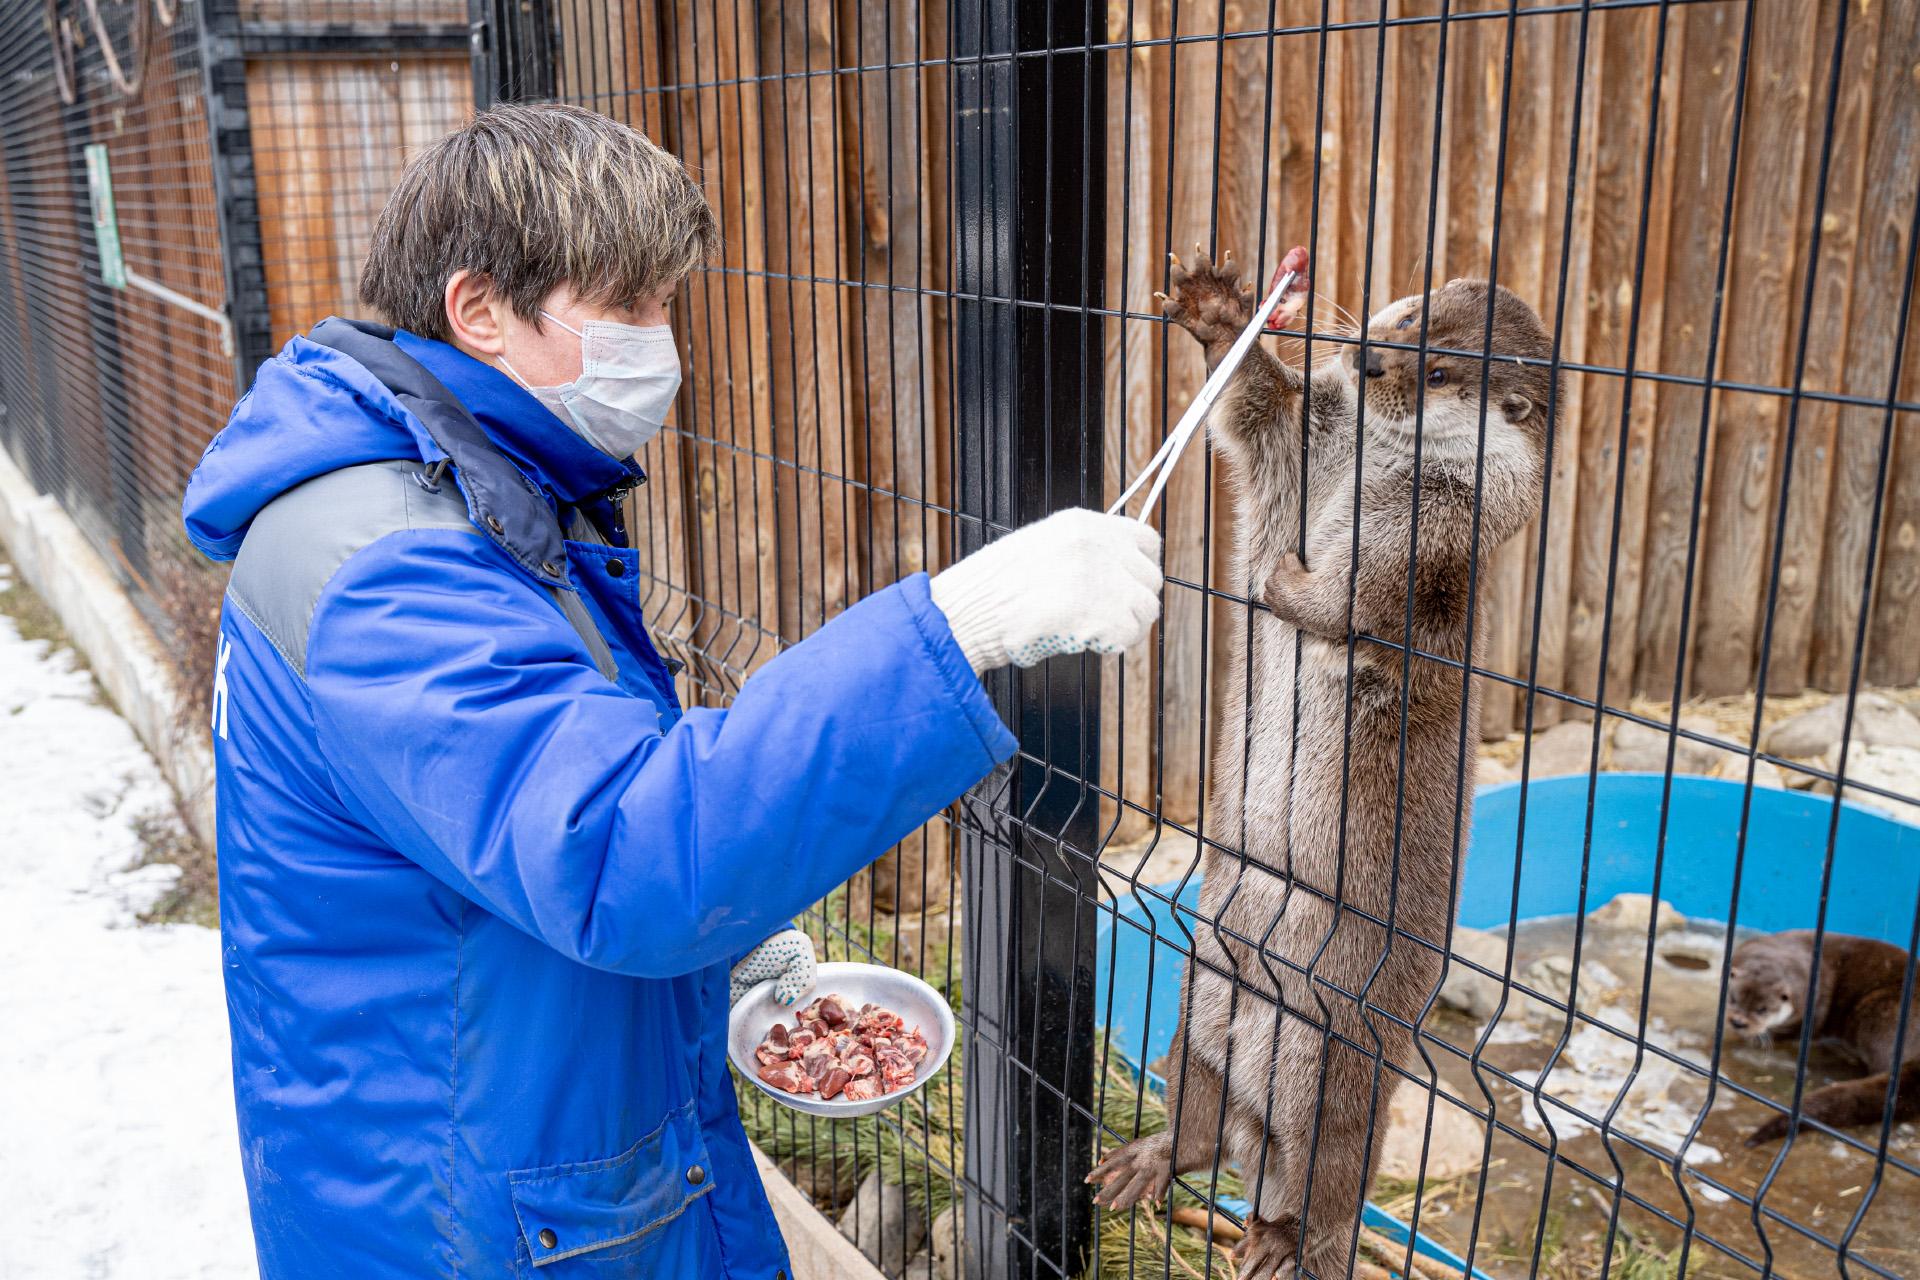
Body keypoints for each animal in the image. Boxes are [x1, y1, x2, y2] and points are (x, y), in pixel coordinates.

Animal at [1090, 249, 1551, 1280]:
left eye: (1442, 370)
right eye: (1407, 317)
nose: (1375, 358)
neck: (1374, 472)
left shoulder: (1444, 533)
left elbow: (1356, 602)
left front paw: (1284, 587)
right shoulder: (1311, 441)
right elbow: (1263, 411)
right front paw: (1223, 312)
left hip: (1337, 1056)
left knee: (1333, 1175)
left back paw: (1285, 1242)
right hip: (1206, 987)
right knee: (1204, 1118)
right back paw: (1158, 1160)